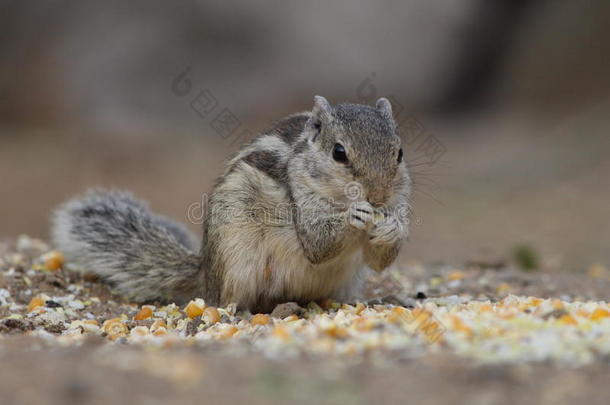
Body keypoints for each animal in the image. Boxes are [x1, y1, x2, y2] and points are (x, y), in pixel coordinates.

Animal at [51, 96, 408, 310]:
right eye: (339, 152)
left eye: (399, 152)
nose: (378, 197)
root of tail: (205, 272)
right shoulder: (302, 201)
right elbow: (318, 244)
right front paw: (355, 213)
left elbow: (380, 260)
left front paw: (391, 227)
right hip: (235, 259)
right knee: (223, 300)